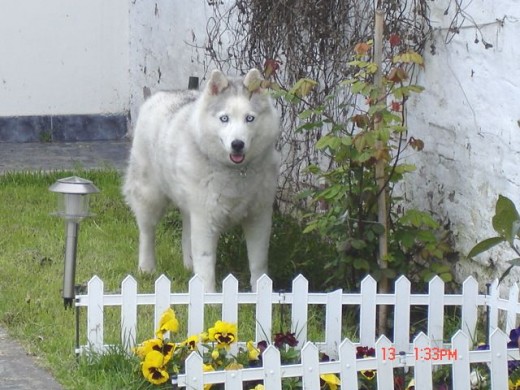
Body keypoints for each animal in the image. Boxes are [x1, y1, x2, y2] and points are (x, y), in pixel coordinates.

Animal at [124, 68, 280, 290]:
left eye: (249, 118)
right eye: (224, 118)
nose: (237, 144)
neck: (235, 172)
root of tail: (158, 95)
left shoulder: (259, 218)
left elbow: (258, 263)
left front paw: (262, 291)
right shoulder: (206, 221)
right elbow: (206, 264)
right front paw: (207, 294)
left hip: (191, 206)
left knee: (186, 232)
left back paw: (188, 266)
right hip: (149, 195)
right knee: (147, 232)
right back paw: (147, 267)